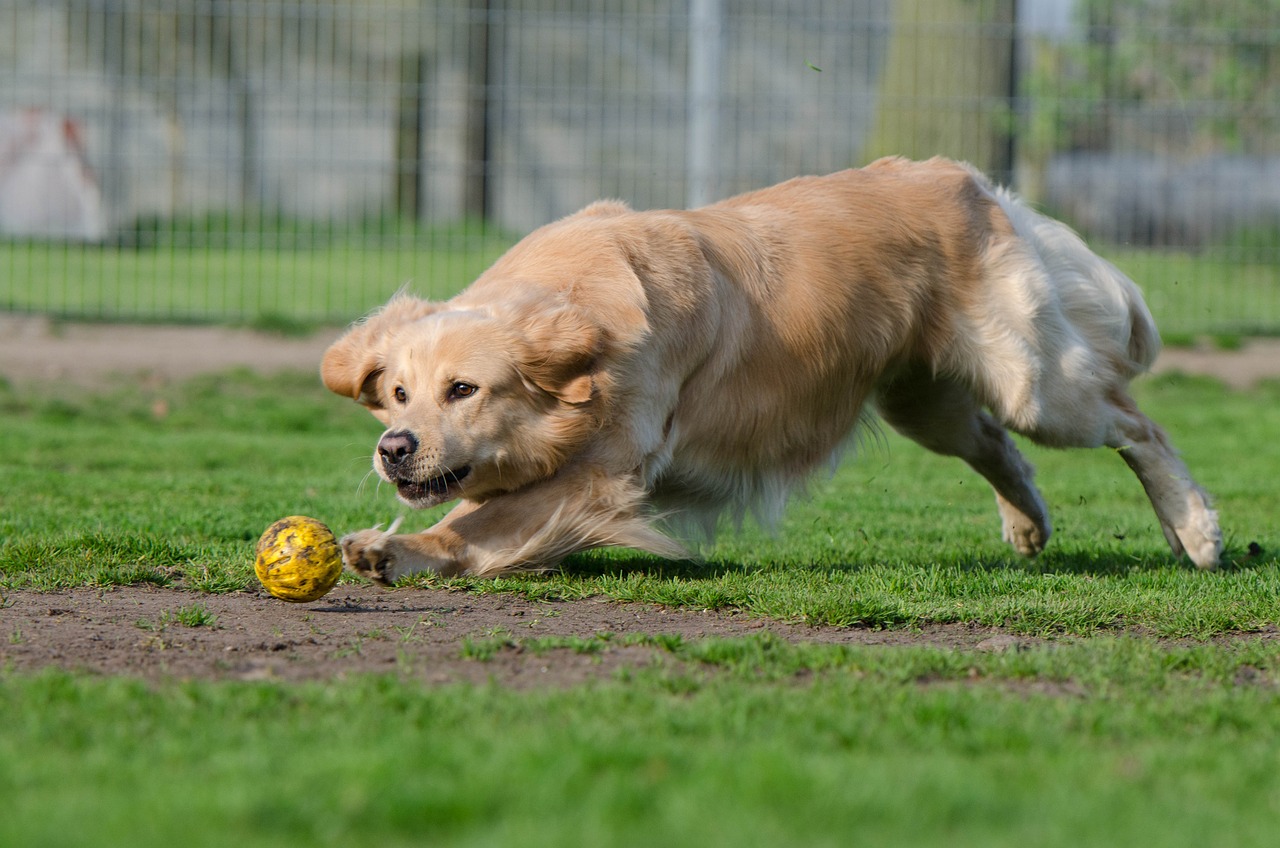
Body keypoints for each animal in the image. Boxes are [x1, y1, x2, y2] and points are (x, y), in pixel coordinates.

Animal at [320, 156, 1218, 584]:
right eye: (397, 394)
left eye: (463, 390)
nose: (394, 448)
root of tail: (968, 179)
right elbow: (476, 519)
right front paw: (390, 549)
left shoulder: (599, 476)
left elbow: (476, 521)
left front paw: (399, 549)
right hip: (924, 401)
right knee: (999, 445)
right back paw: (1028, 525)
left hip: (1035, 382)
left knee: (1135, 422)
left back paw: (1197, 528)